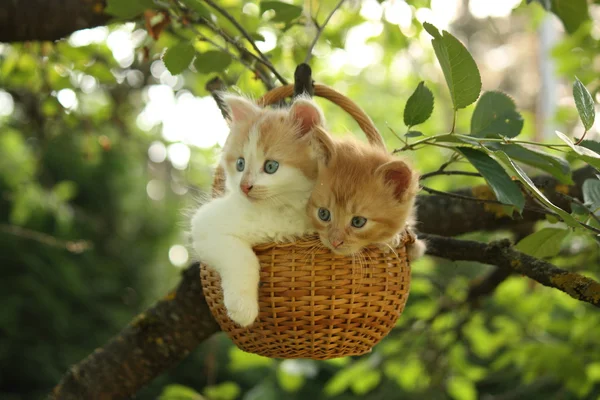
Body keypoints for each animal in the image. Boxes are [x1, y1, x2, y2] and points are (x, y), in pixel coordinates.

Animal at [191, 95, 324, 326]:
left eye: (271, 166)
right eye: (240, 164)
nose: (244, 186)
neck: (278, 210)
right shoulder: (205, 223)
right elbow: (243, 256)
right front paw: (242, 308)